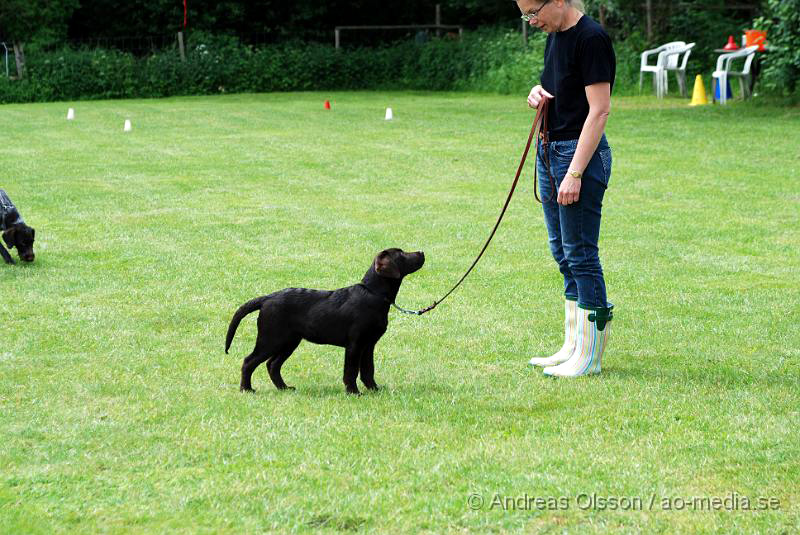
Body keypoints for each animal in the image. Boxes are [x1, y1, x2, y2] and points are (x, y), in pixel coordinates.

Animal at [225, 249, 424, 396]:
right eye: (401, 254)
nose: (421, 252)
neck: (373, 293)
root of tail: (267, 298)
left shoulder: (369, 344)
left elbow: (368, 370)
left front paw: (374, 390)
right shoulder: (355, 344)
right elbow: (351, 371)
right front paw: (354, 393)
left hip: (289, 341)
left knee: (272, 364)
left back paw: (284, 388)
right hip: (271, 339)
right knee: (249, 361)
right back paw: (246, 389)